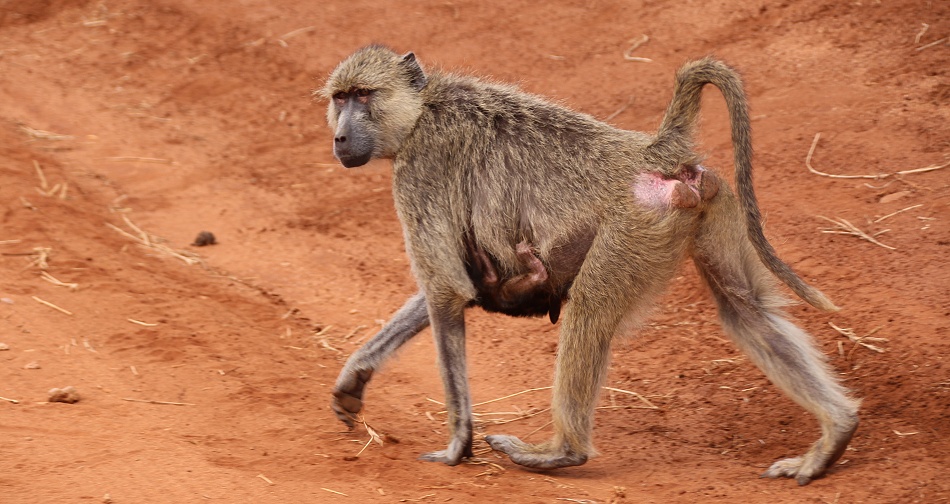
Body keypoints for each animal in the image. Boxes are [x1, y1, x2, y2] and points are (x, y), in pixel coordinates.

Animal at [319, 45, 858, 485]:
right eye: (339, 99)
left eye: (363, 96)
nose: (340, 138)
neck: (421, 109)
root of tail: (653, 151)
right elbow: (449, 287)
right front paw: (354, 379)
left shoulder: (420, 167)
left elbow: (447, 289)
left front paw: (457, 444)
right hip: (711, 202)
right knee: (744, 307)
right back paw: (835, 434)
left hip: (635, 227)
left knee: (589, 310)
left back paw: (560, 452)